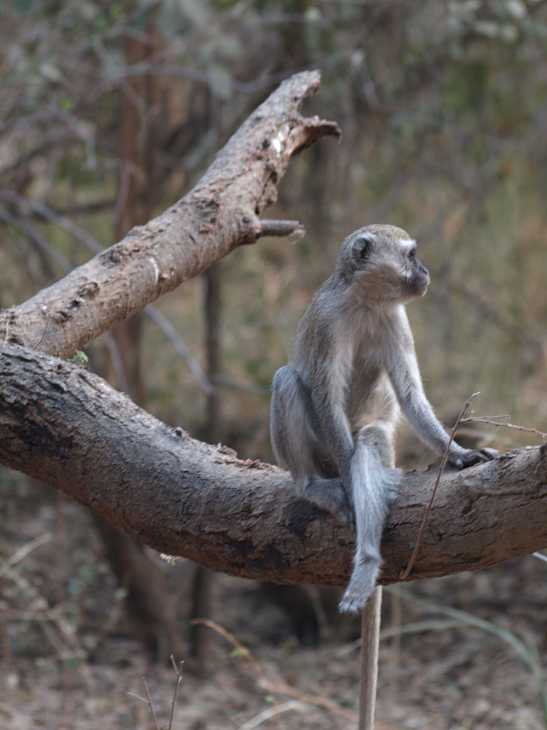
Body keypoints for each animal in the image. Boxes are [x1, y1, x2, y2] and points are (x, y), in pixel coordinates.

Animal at [270, 224, 497, 729]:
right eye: (410, 255)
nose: (425, 271)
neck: (368, 301)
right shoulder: (329, 322)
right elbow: (325, 396)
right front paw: (347, 489)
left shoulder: (397, 321)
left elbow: (410, 394)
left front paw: (460, 454)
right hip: (317, 451)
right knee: (288, 382)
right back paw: (317, 488)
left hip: (371, 438)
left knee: (371, 441)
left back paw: (368, 558)